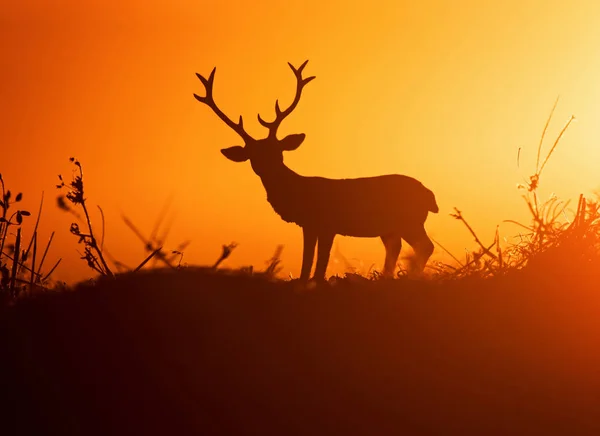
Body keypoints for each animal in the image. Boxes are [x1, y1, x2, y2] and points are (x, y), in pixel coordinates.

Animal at [195, 59, 438, 282]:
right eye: (254, 155)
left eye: (278, 150)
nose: (267, 168)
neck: (300, 191)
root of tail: (429, 195)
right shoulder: (310, 224)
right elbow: (308, 258)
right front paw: (305, 280)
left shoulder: (326, 223)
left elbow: (320, 260)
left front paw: (315, 281)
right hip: (391, 227)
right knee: (396, 247)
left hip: (409, 220)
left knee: (425, 246)